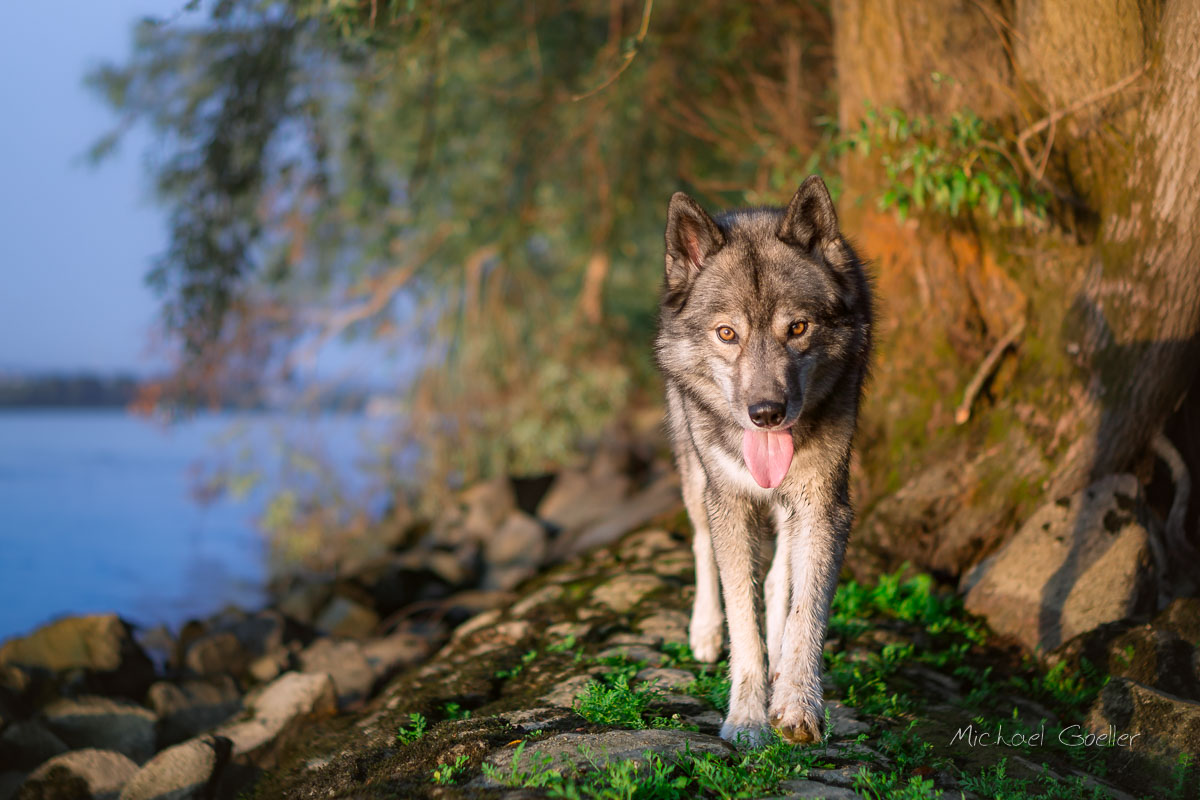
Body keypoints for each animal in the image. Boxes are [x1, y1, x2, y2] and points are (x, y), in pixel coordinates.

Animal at [655, 176, 873, 746]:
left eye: (797, 328)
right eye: (727, 333)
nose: (767, 413)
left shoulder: (825, 504)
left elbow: (806, 609)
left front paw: (796, 704)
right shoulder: (728, 501)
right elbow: (742, 619)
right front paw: (747, 719)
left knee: (780, 580)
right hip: (695, 478)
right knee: (701, 543)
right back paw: (704, 631)